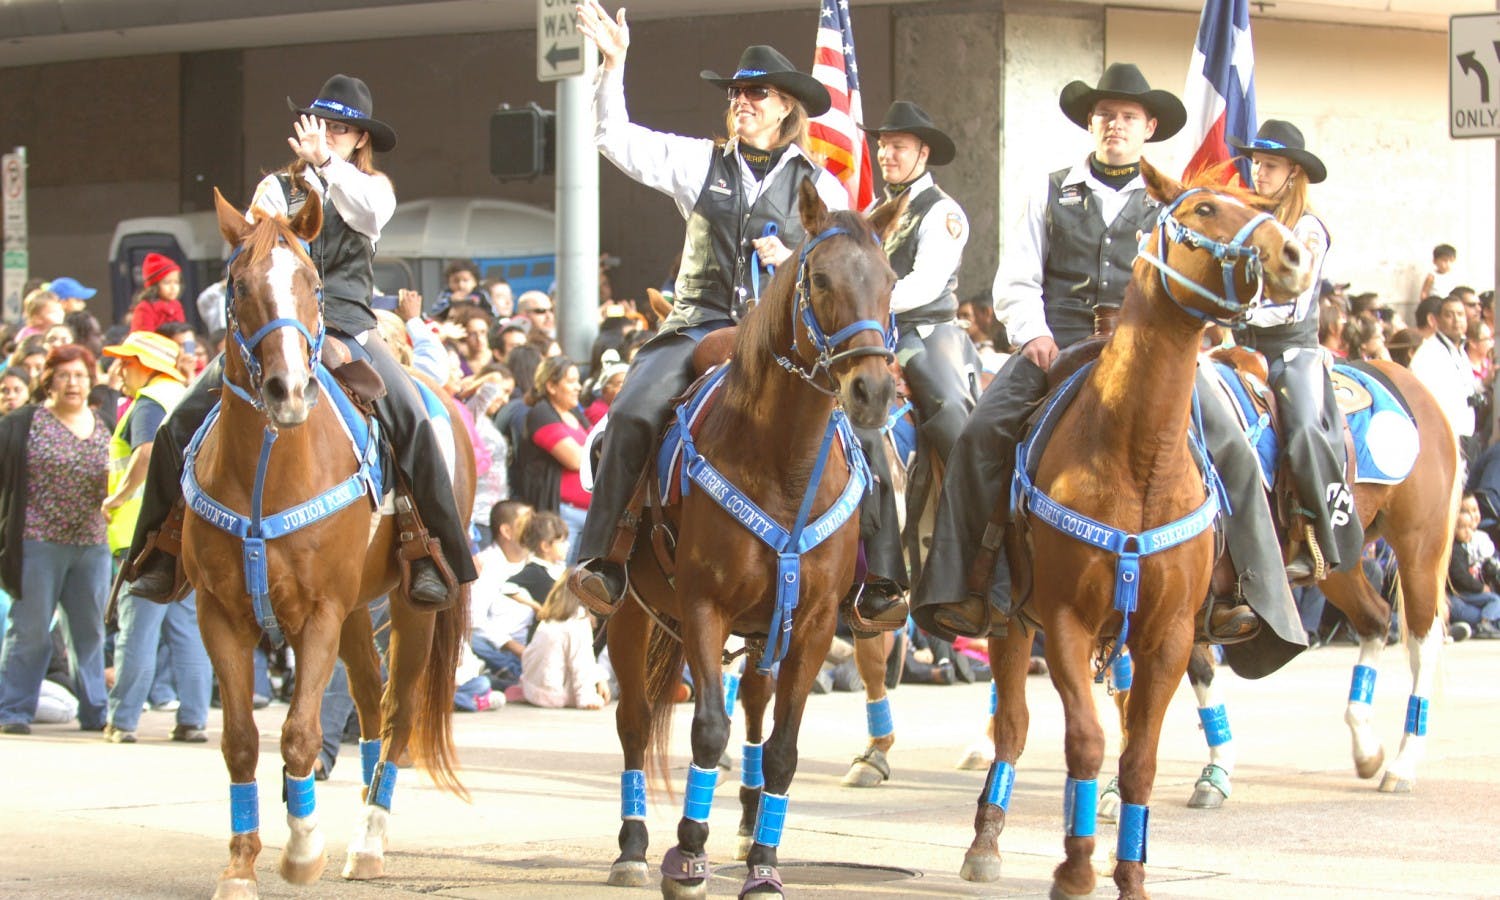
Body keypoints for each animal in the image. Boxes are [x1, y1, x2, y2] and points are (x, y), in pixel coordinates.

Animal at [185, 188, 471, 894]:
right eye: (238, 284)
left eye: (312, 284)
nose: (288, 390)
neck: (267, 468)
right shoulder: (219, 613)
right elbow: (240, 739)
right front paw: (241, 864)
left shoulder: (317, 613)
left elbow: (299, 734)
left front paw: (301, 849)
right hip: (355, 610)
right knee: (368, 703)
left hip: (408, 605)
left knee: (395, 713)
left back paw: (368, 838)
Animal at [603, 179, 894, 894]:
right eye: (820, 279)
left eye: (890, 280)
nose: (872, 390)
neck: (782, 460)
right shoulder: (703, 606)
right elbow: (709, 728)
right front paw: (687, 856)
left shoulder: (811, 622)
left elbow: (783, 746)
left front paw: (764, 863)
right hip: (631, 612)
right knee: (632, 722)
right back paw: (632, 846)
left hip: (766, 628)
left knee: (758, 711)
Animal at [954, 163, 1320, 900]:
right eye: (1203, 208)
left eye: (1256, 203)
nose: (1295, 256)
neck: (1137, 456)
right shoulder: (1062, 620)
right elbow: (1086, 742)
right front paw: (1074, 868)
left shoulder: (1169, 633)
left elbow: (1140, 758)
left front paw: (1130, 874)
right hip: (1013, 621)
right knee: (1012, 726)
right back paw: (986, 839)